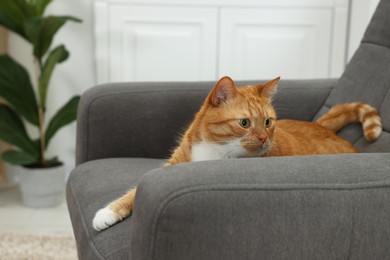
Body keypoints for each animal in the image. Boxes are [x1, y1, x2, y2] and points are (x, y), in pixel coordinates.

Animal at [93, 76, 382, 231]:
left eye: (268, 122)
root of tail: (321, 125)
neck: (215, 151)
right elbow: (132, 193)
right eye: (244, 122)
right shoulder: (172, 165)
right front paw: (107, 213)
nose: (265, 138)